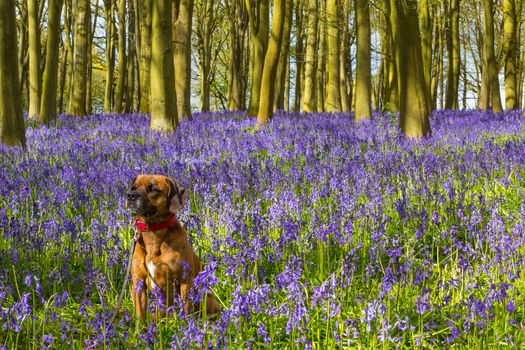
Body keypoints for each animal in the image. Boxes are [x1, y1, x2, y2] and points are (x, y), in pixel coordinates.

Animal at [124, 173, 219, 320]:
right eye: (133, 187)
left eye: (152, 188)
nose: (130, 195)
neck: (153, 231)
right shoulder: (138, 282)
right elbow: (140, 315)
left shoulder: (184, 279)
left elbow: (185, 310)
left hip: (206, 300)